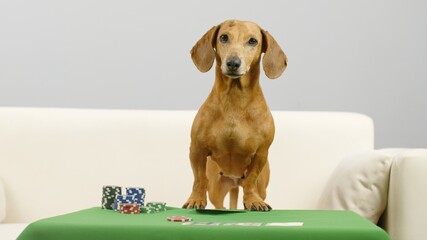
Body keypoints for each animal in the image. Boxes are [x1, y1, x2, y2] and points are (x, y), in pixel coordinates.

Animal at [184, 20, 288, 212]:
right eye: (223, 37)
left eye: (253, 41)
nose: (233, 63)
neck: (234, 100)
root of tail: (234, 181)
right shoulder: (196, 149)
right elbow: (199, 178)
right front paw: (196, 199)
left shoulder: (261, 154)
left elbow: (251, 180)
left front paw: (253, 200)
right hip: (216, 189)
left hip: (262, 186)